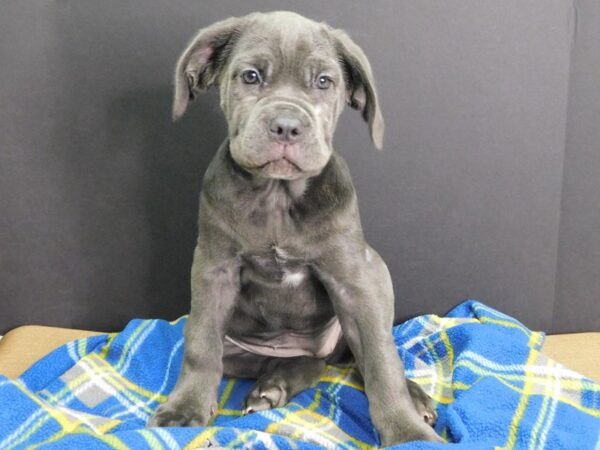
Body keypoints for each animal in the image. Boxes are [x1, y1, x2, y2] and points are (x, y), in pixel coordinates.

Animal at [148, 11, 442, 446]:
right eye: (251, 76)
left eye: (323, 82)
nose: (286, 126)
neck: (277, 197)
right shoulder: (213, 271)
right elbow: (200, 346)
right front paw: (184, 409)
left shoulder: (354, 283)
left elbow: (380, 360)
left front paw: (406, 432)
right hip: (246, 350)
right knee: (303, 362)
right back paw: (275, 384)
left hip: (376, 272)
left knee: (359, 355)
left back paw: (413, 398)